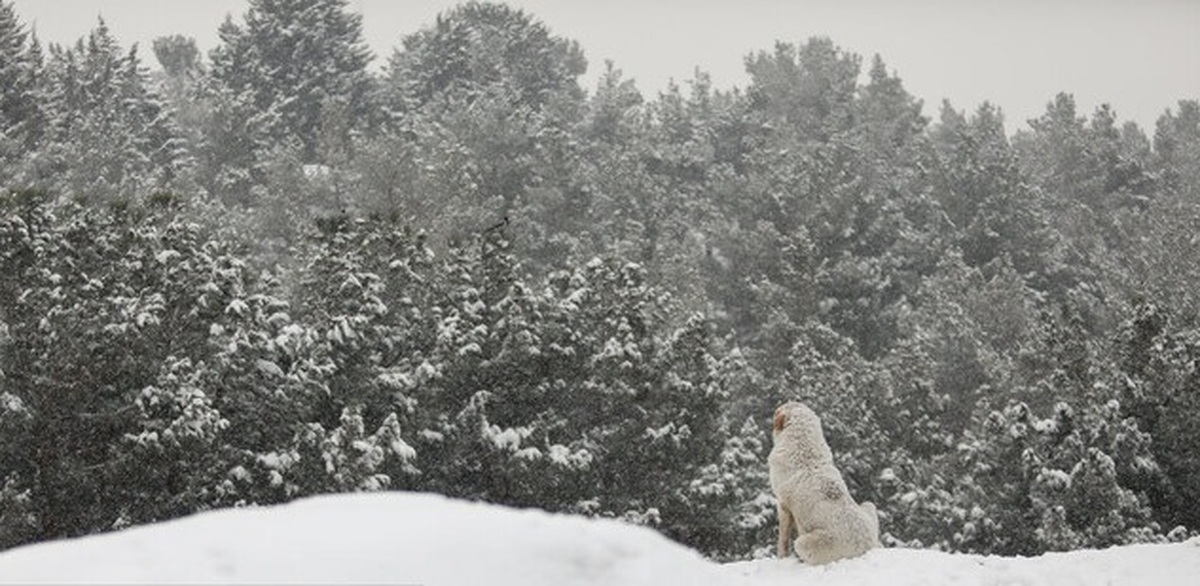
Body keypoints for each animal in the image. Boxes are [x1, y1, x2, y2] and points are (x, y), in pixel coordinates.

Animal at [768, 403, 883, 561]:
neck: (804, 450)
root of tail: (866, 547)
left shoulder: (783, 505)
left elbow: (783, 538)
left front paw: (781, 556)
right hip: (868, 505)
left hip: (804, 543)